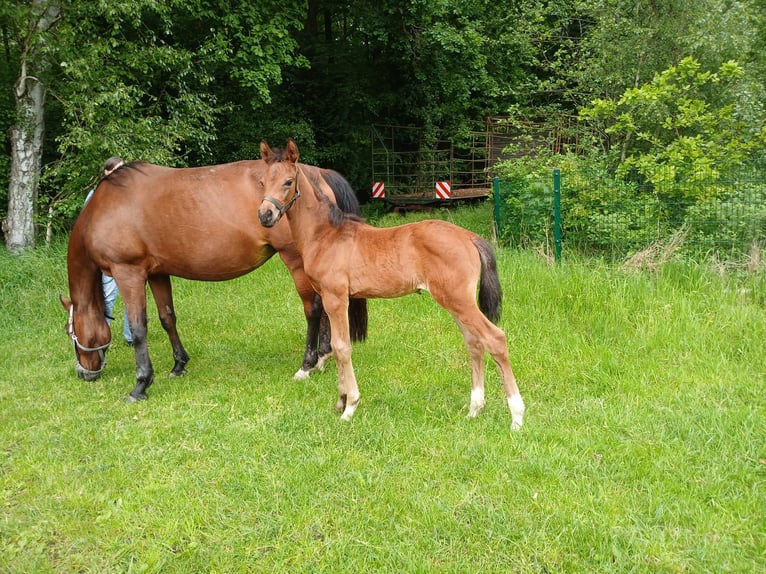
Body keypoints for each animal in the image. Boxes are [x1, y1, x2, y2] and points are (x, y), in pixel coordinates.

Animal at [60, 158, 368, 402]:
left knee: (313, 309)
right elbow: (167, 317)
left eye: (70, 331)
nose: (84, 373)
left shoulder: (129, 272)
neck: (108, 205)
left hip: (295, 260)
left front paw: (141, 384)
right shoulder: (158, 273)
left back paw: (308, 363)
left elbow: (138, 329)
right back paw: (324, 357)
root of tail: (317, 172)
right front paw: (178, 365)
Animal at [258, 140, 525, 429]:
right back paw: (474, 409)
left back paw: (517, 417)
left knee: (495, 338)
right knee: (474, 343)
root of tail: (470, 237)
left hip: (459, 301)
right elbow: (337, 347)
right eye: (262, 181)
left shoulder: (336, 297)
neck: (326, 235)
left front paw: (350, 406)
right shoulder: (330, 299)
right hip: (455, 302)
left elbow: (342, 347)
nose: (265, 215)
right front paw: (340, 401)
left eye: (288, 181)